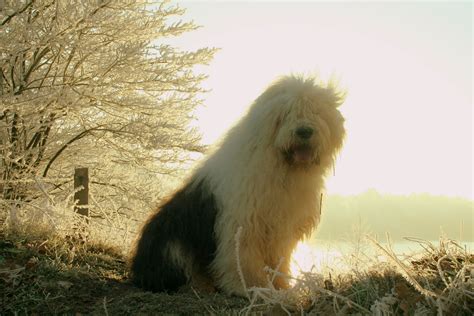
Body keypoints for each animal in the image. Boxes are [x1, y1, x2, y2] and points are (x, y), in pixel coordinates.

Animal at [130, 74, 344, 296]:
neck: (282, 170)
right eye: (286, 114)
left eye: (316, 112)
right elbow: (242, 259)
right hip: (171, 241)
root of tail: (137, 267)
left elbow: (279, 259)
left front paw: (280, 285)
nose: (304, 131)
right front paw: (247, 286)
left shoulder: (282, 228)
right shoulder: (243, 224)